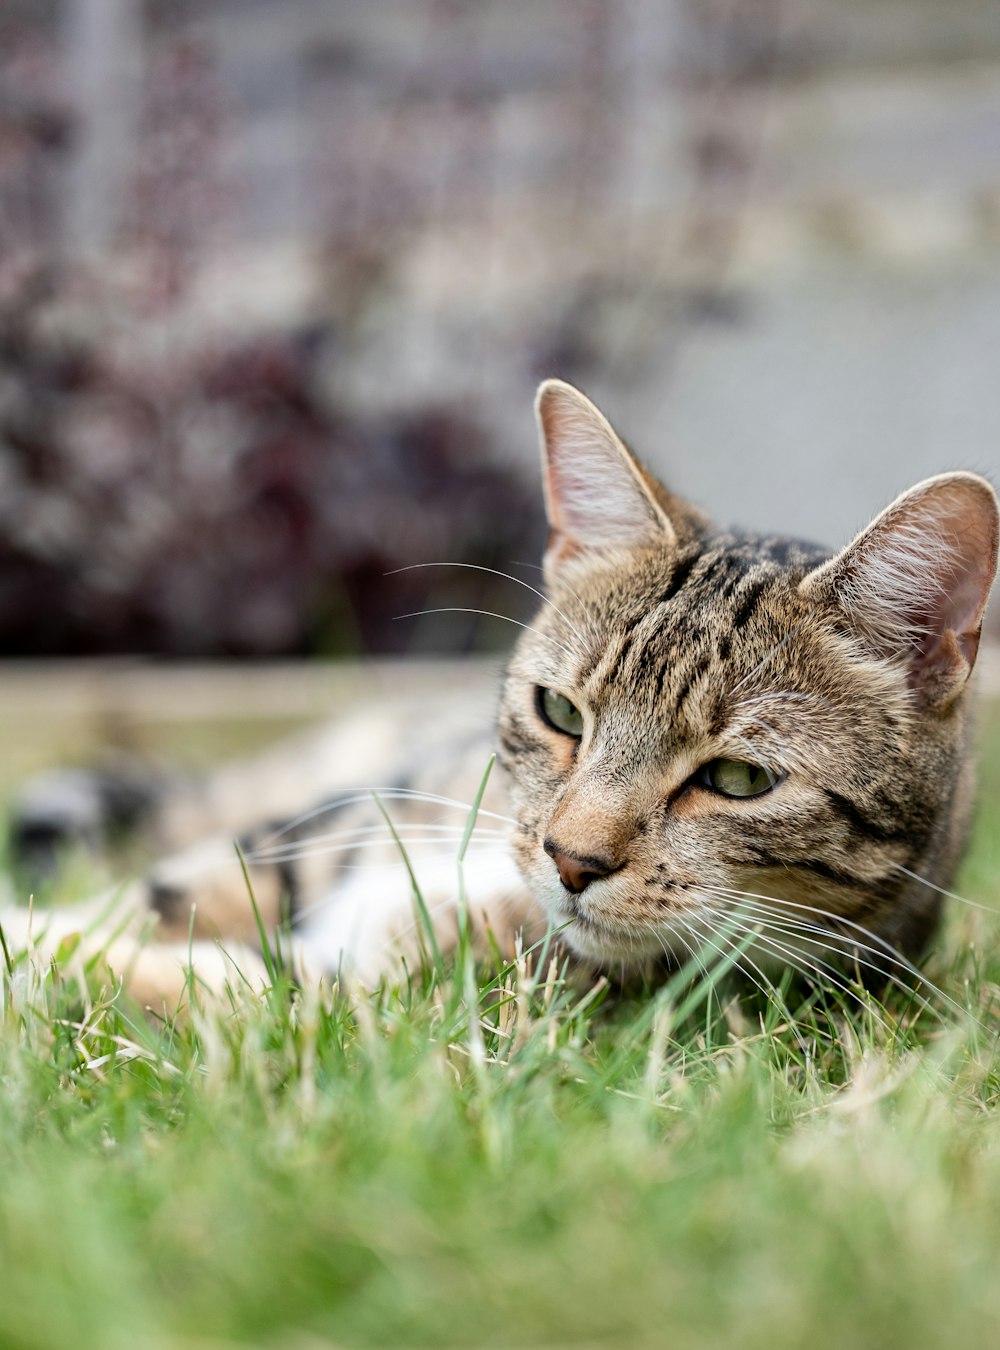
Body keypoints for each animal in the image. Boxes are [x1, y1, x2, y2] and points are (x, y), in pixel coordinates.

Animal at [3, 380, 993, 1015]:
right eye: (560, 713)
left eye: (742, 780)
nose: (571, 860)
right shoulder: (312, 834)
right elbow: (150, 897)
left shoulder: (360, 998)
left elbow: (192, 981)